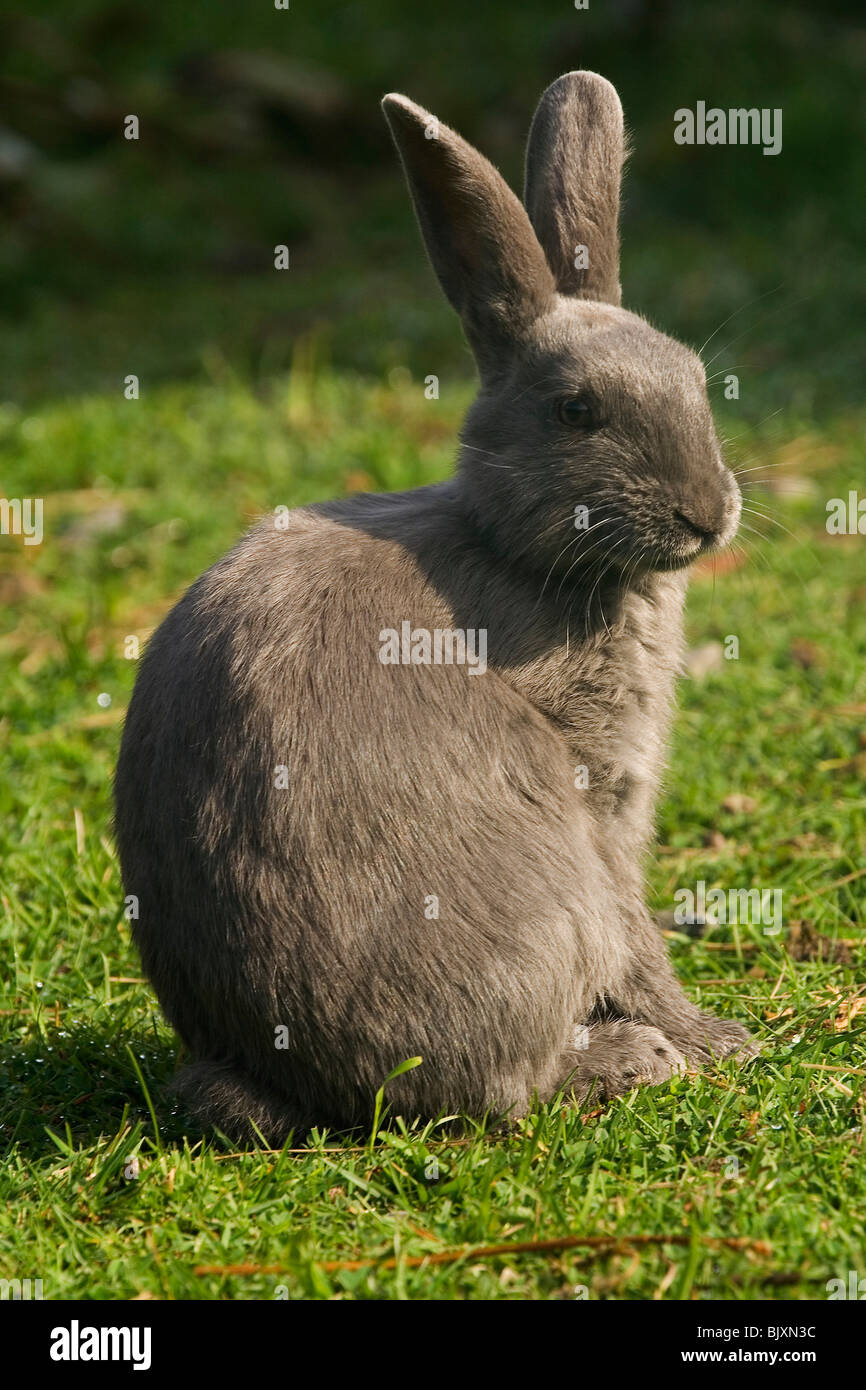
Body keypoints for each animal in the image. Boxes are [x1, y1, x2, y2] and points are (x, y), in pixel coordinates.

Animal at [114, 71, 758, 1145]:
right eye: (577, 412)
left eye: (700, 381)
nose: (706, 515)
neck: (518, 548)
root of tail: (303, 1077)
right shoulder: (597, 797)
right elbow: (634, 934)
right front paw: (715, 1042)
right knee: (502, 1087)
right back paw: (629, 1061)